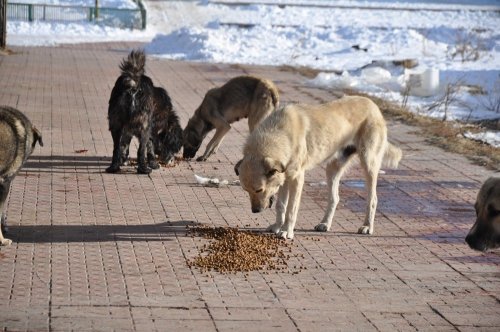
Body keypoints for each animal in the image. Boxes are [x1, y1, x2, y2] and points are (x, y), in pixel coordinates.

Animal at [236, 95, 404, 239]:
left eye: (259, 190)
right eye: (246, 190)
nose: (255, 211)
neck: (279, 134)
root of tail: (373, 105)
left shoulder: (296, 178)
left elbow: (291, 209)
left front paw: (286, 231)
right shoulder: (284, 178)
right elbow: (281, 205)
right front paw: (277, 226)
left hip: (369, 164)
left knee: (373, 199)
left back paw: (367, 226)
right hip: (332, 169)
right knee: (334, 198)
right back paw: (325, 224)